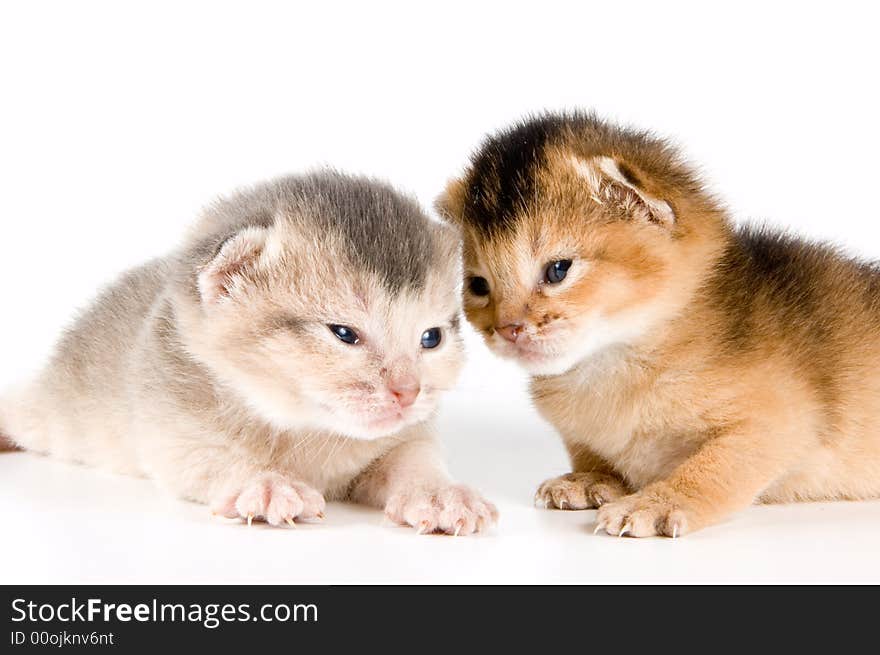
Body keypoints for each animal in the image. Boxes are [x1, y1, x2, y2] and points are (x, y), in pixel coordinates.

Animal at [0, 172, 496, 536]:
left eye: (431, 338)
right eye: (343, 333)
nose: (408, 392)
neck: (309, 433)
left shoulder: (405, 436)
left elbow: (415, 455)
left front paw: (438, 493)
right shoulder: (168, 425)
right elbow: (209, 457)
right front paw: (264, 481)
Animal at [438, 113, 880, 540]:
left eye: (558, 270)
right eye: (478, 285)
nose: (507, 328)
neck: (610, 366)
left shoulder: (781, 423)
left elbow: (711, 468)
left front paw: (657, 503)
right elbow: (589, 449)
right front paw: (593, 478)